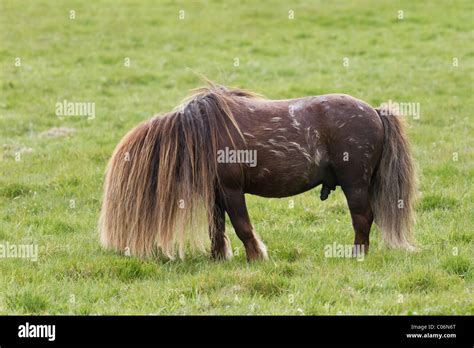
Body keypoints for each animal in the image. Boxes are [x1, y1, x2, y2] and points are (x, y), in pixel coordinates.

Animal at [99, 82, 414, 260]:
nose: (121, 249)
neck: (202, 133)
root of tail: (375, 112)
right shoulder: (217, 193)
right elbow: (217, 226)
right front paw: (217, 257)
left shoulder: (231, 189)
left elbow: (241, 225)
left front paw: (256, 257)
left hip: (355, 184)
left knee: (363, 218)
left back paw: (356, 255)